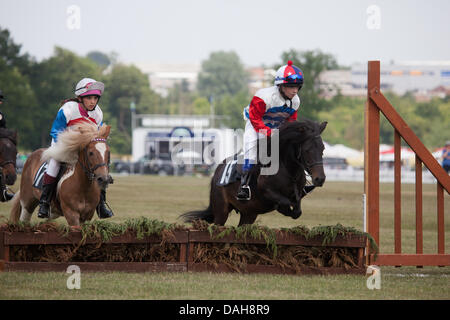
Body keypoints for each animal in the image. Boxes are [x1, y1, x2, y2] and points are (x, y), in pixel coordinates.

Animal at [180, 119, 326, 226]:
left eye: (323, 148)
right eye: (307, 150)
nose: (320, 179)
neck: (288, 169)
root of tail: (217, 171)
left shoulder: (298, 194)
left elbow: (297, 210)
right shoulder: (267, 191)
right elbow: (285, 203)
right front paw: (282, 208)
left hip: (249, 213)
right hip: (222, 210)